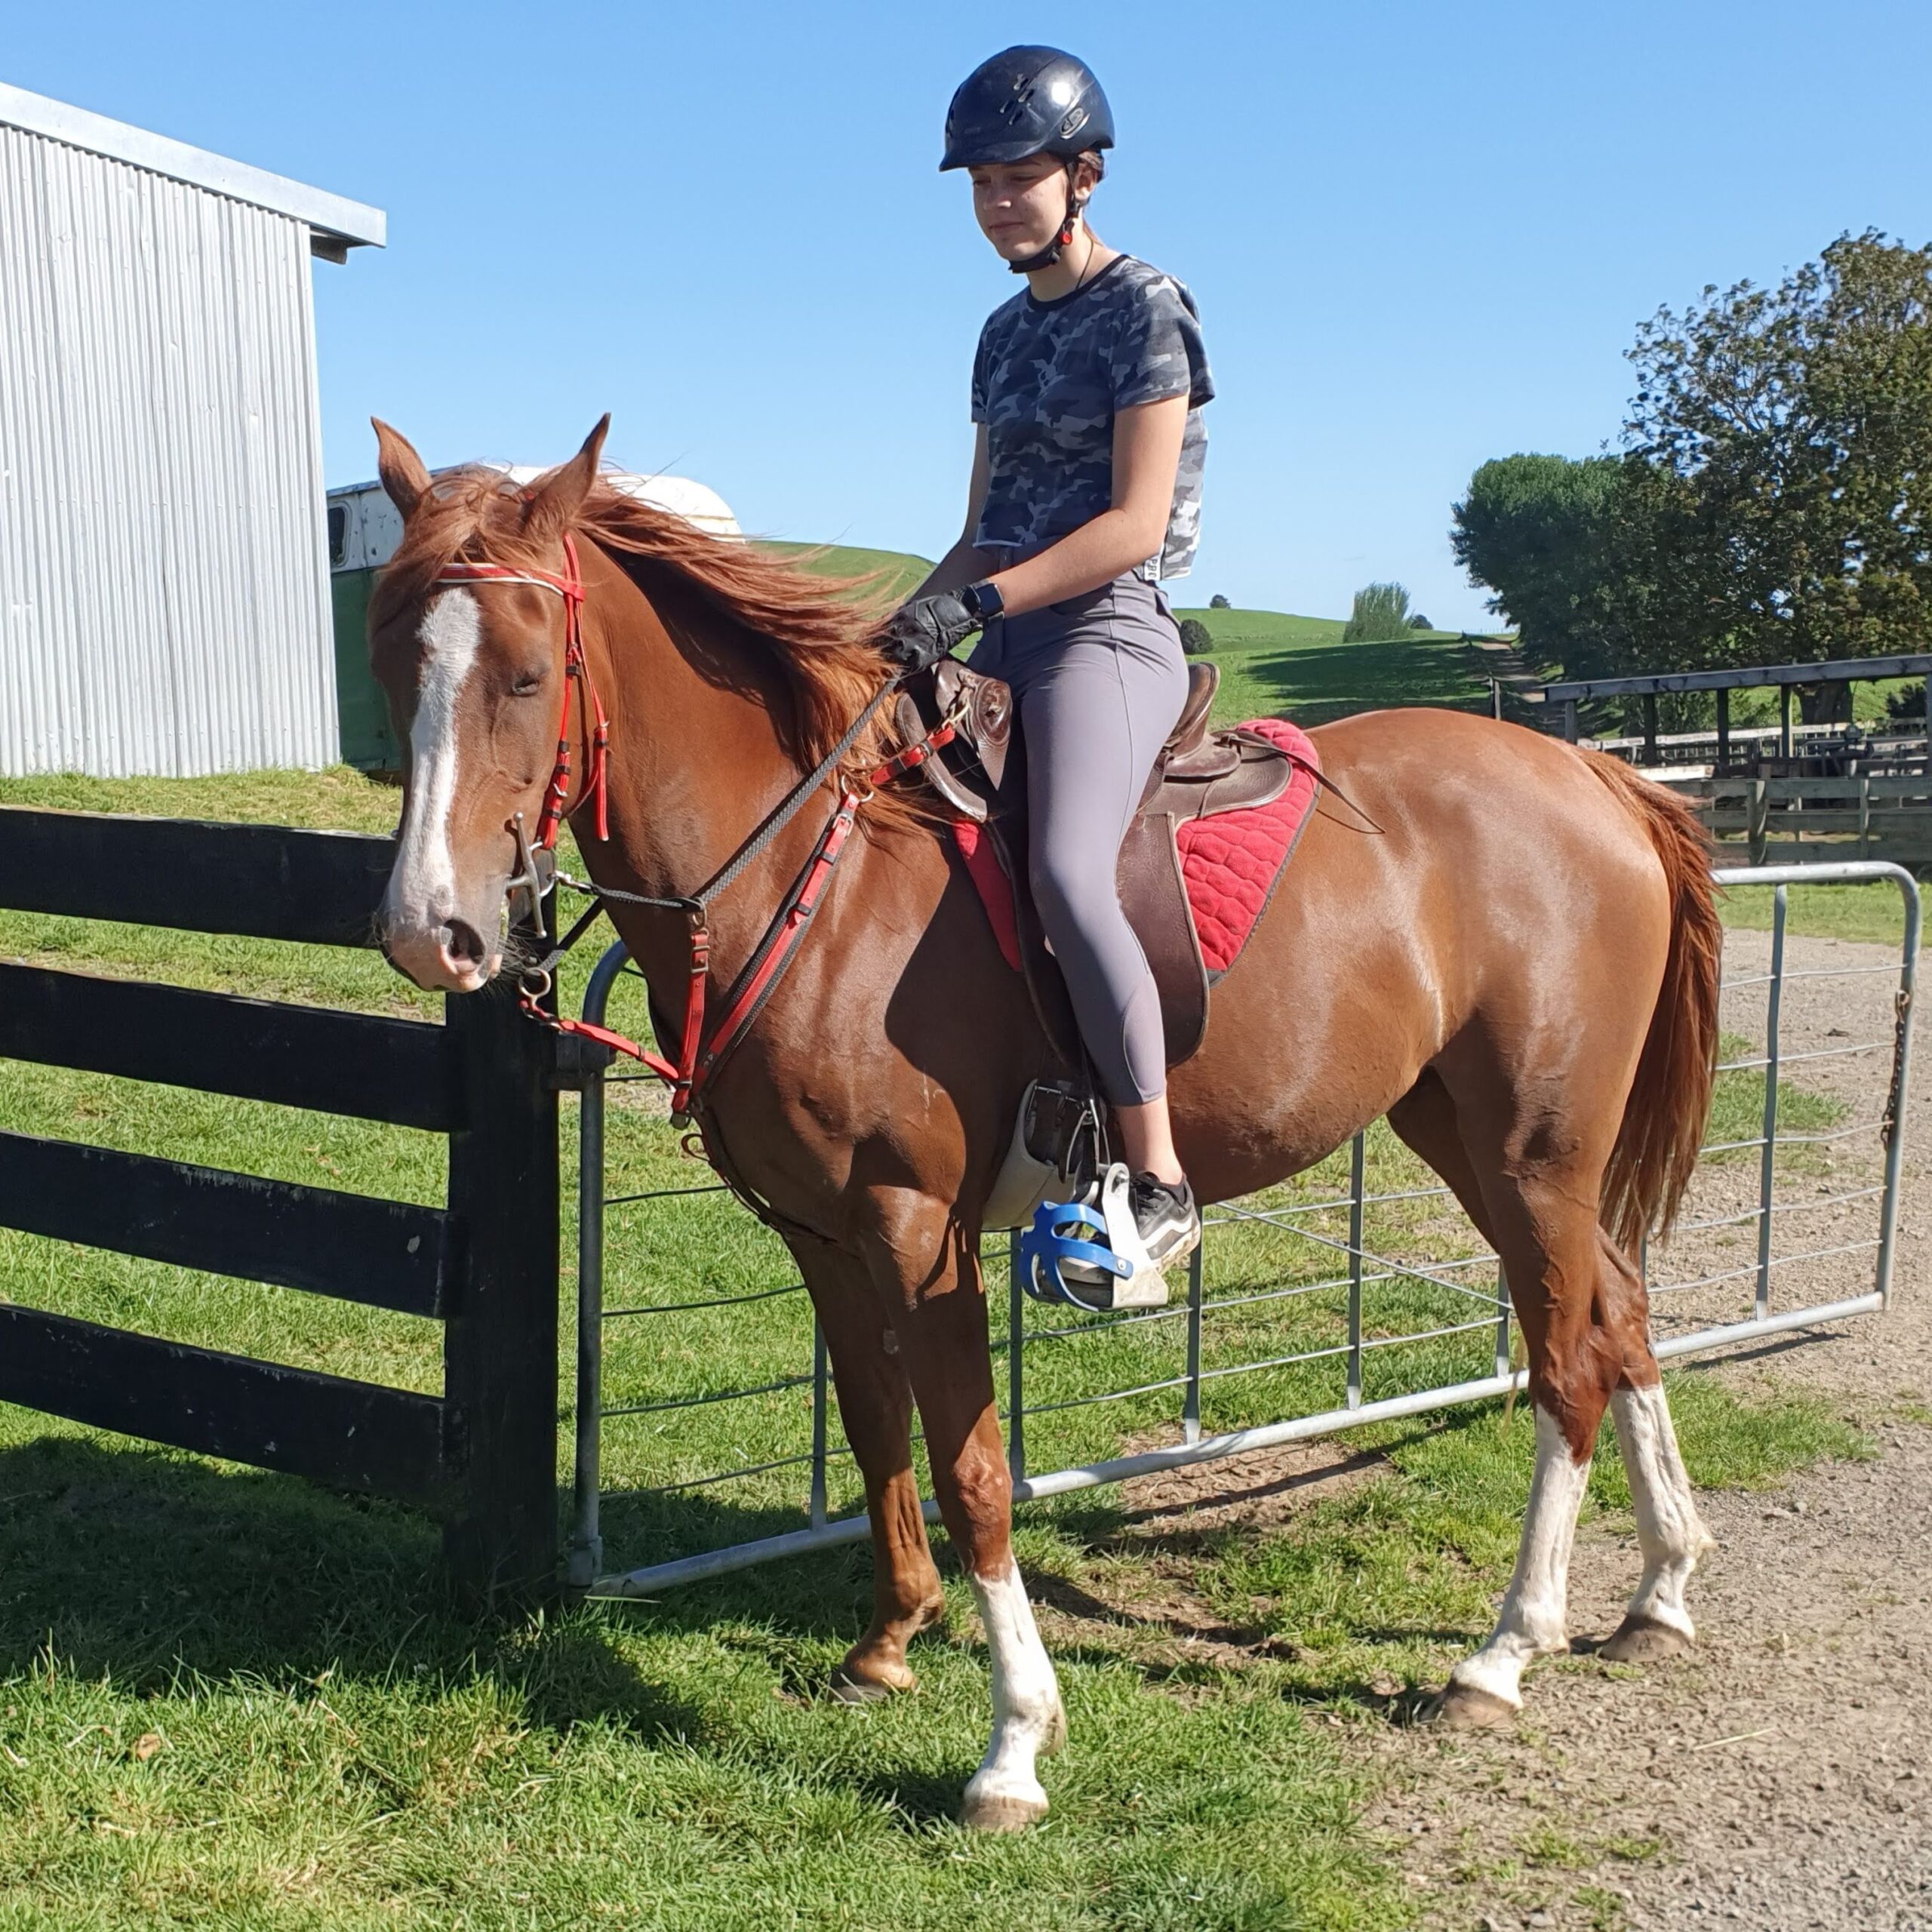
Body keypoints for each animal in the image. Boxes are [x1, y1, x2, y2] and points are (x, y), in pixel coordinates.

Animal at [368, 418, 1722, 1831]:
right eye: (389, 656)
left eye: (526, 675)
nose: (429, 931)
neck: (819, 878)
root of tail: (1598, 776)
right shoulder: (820, 1235)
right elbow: (876, 1427)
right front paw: (886, 1647)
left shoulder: (918, 1231)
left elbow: (973, 1471)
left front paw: (1013, 1744)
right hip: (1469, 1135)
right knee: (1623, 1318)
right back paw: (1658, 1590)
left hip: (1535, 1149)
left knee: (1567, 1366)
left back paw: (1504, 1653)